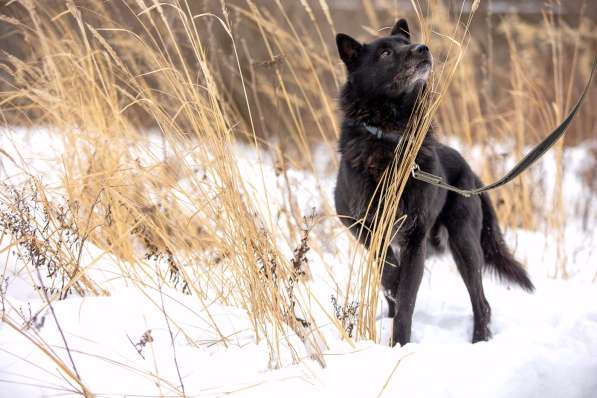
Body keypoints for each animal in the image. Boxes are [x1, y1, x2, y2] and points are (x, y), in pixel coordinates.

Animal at [332, 18, 532, 346]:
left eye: (404, 43)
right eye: (385, 53)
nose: (422, 48)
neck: (392, 137)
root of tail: (470, 171)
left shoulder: (415, 237)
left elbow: (407, 300)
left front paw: (399, 345)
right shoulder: (358, 222)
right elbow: (387, 270)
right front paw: (392, 285)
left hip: (464, 244)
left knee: (482, 302)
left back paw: (479, 341)